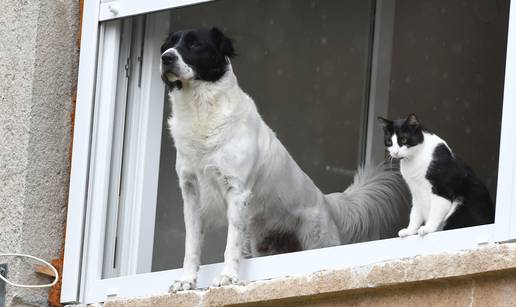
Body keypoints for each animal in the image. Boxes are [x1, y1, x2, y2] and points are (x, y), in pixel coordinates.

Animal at [159, 27, 410, 292]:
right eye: (169, 44)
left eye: (195, 44)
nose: (165, 57)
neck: (202, 111)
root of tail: (325, 200)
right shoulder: (191, 194)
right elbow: (191, 245)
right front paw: (186, 280)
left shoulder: (236, 190)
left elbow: (231, 243)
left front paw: (227, 277)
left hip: (317, 242)